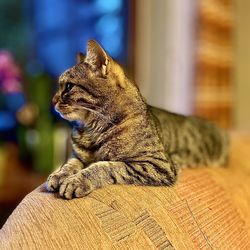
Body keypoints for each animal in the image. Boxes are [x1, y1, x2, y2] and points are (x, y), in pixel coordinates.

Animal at [46, 39, 229, 199]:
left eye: (68, 86)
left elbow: (105, 166)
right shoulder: (77, 156)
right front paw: (58, 175)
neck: (91, 130)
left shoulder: (156, 164)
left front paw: (76, 181)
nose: (52, 101)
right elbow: (69, 164)